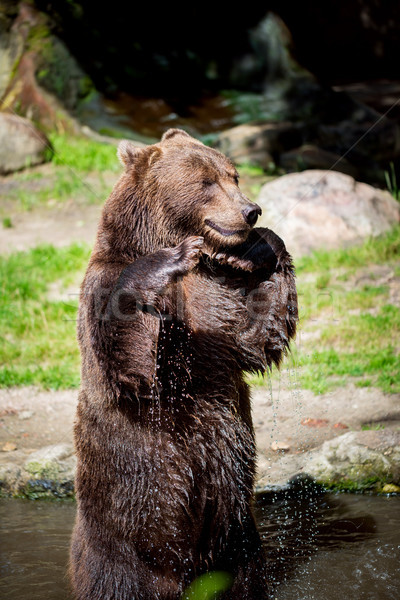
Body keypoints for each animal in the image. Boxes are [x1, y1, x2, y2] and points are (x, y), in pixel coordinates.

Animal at [70, 130, 298, 600]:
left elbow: (257, 337)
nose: (250, 210)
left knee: (245, 572)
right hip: (125, 528)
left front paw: (264, 243)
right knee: (119, 575)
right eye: (205, 182)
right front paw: (165, 262)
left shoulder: (217, 300)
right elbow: (129, 365)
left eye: (234, 175)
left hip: (237, 536)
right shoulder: (103, 288)